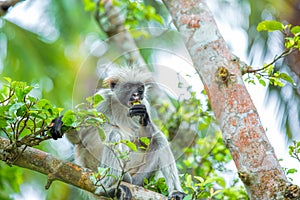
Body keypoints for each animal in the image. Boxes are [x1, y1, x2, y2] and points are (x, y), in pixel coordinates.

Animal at [50, 67, 186, 200]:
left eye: (140, 89)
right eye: (128, 87)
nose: (136, 94)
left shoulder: (144, 104)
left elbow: (145, 140)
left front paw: (144, 117)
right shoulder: (102, 99)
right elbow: (79, 139)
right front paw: (60, 122)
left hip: (139, 177)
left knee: (159, 139)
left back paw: (175, 192)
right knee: (114, 135)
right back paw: (107, 187)